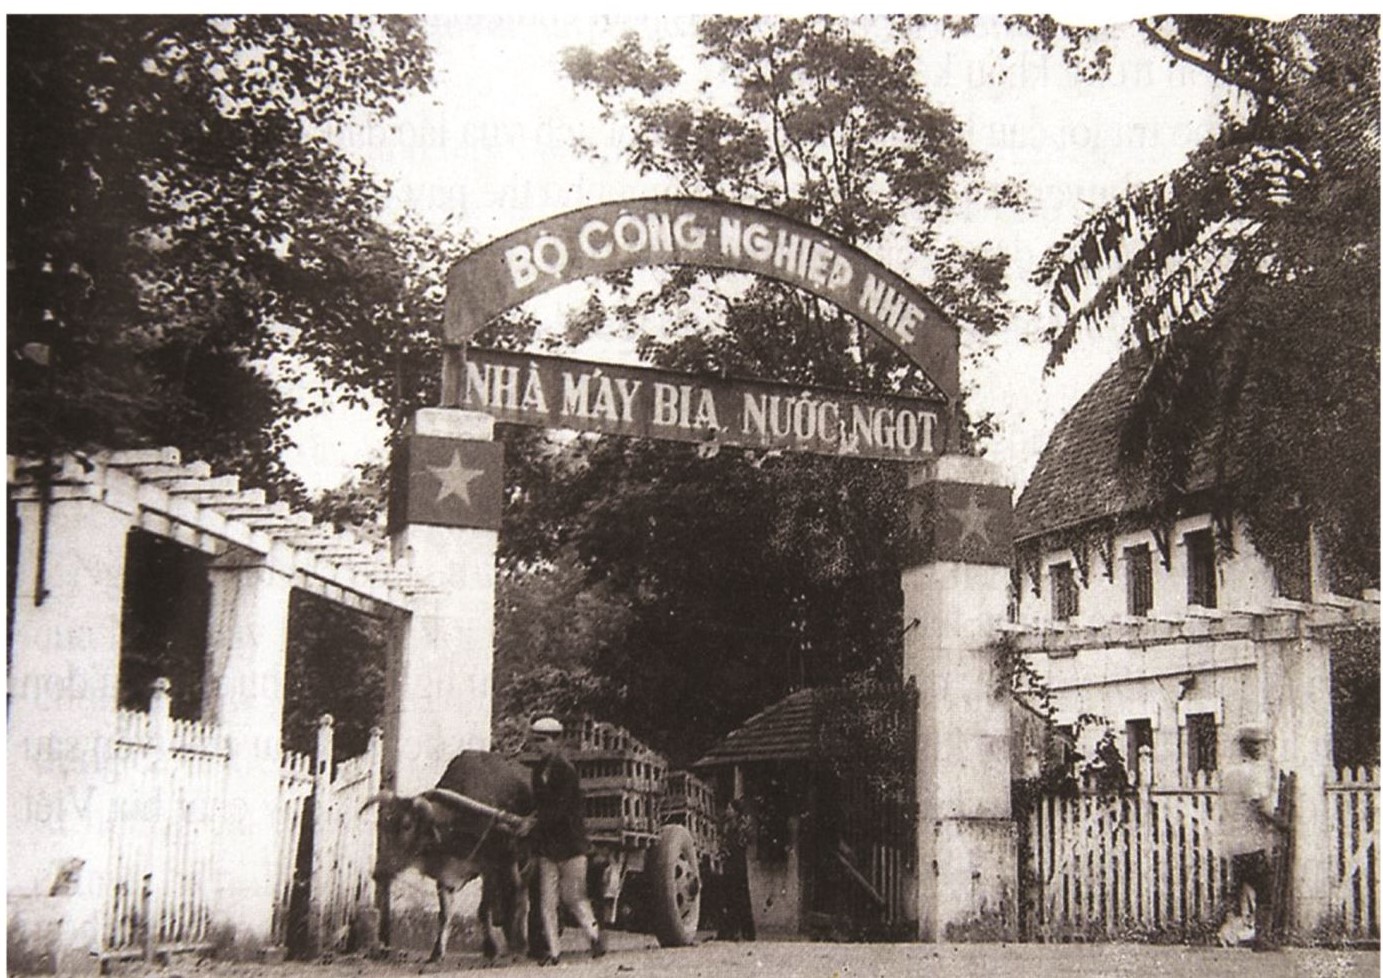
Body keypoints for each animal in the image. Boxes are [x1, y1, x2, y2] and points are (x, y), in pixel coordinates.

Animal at [363, 750, 536, 963]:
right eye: (384, 824)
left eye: (407, 825)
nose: (379, 873)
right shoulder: (445, 878)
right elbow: (445, 914)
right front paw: (437, 951)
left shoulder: (490, 868)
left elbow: (483, 910)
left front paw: (491, 948)